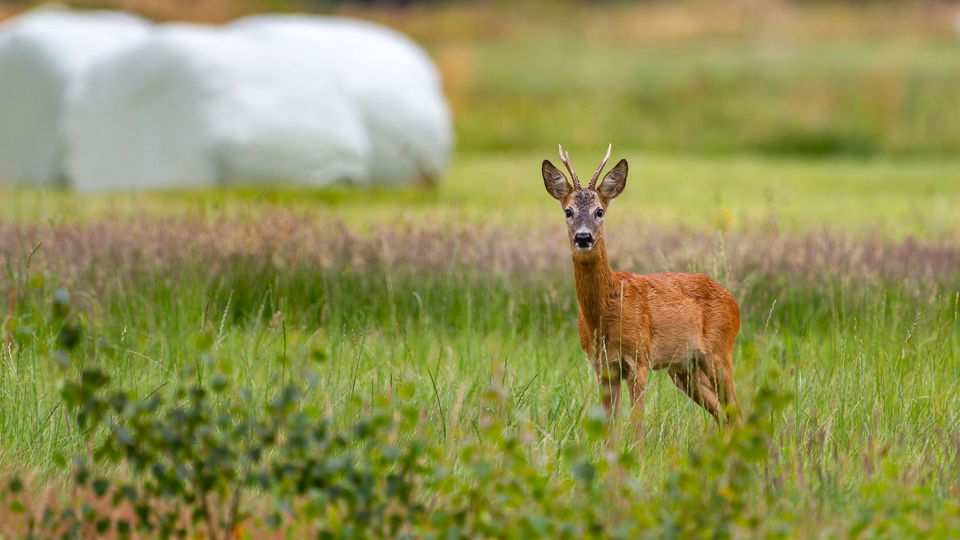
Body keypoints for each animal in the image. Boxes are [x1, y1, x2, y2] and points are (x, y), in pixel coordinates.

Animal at [540, 143, 744, 430]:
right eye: (568, 211)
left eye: (599, 211)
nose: (583, 237)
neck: (606, 312)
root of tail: (733, 300)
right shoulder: (603, 366)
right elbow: (610, 426)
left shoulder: (640, 358)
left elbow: (637, 424)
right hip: (684, 369)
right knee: (724, 414)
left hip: (719, 351)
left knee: (737, 409)